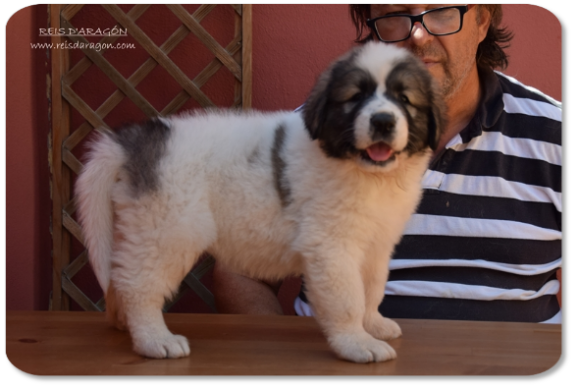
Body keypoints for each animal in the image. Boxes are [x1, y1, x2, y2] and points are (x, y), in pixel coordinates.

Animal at [76, 42, 444, 362]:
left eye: (405, 99)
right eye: (355, 98)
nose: (383, 120)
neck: (368, 174)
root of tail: (136, 139)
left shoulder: (376, 243)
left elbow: (372, 288)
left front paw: (373, 325)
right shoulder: (331, 246)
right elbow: (347, 297)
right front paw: (356, 343)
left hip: (136, 225)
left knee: (120, 275)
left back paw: (124, 324)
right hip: (168, 229)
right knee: (137, 284)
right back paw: (154, 340)